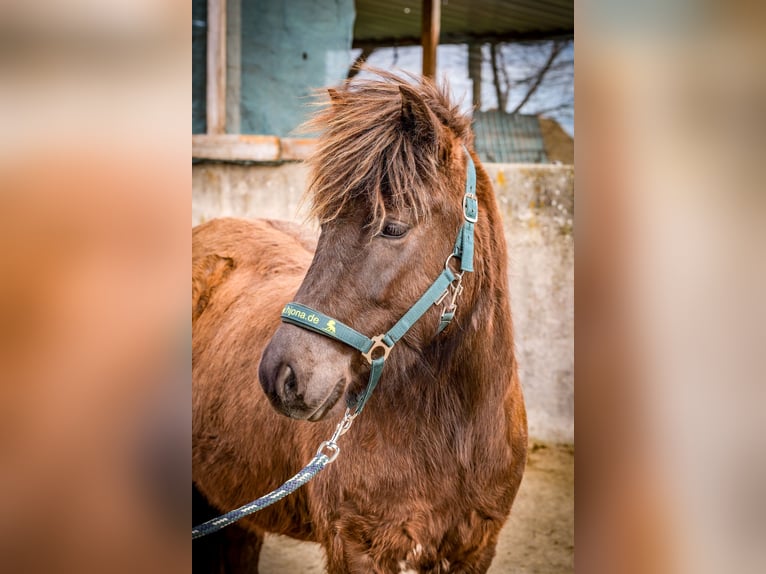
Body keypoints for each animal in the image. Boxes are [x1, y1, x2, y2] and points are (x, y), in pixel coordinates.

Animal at [192, 70, 527, 573]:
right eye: (325, 225)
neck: (456, 431)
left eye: (393, 227)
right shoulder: (357, 548)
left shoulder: (476, 548)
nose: (280, 375)